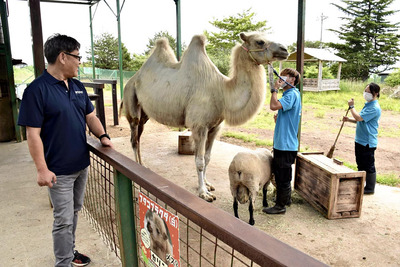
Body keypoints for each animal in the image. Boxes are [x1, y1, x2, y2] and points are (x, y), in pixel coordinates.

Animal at [121, 32, 288, 202]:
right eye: (260, 42)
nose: (285, 49)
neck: (222, 92)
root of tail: (132, 80)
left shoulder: (214, 127)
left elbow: (207, 158)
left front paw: (207, 184)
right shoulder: (199, 126)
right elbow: (200, 160)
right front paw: (203, 192)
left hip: (144, 114)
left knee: (139, 136)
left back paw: (142, 165)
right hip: (131, 100)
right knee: (134, 138)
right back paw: (136, 169)